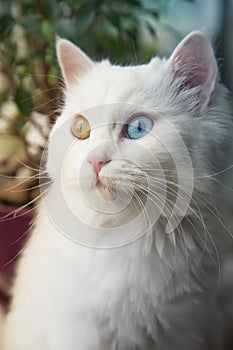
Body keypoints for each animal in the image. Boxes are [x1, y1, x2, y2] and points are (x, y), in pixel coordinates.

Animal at [1, 31, 233, 348]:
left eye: (138, 129)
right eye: (81, 129)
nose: (95, 160)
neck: (132, 237)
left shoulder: (184, 328)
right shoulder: (79, 332)